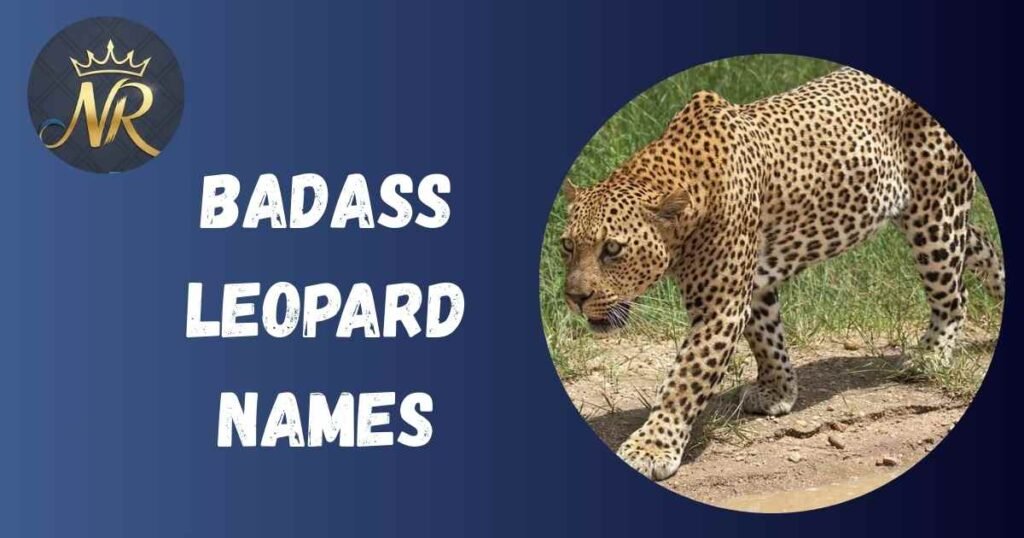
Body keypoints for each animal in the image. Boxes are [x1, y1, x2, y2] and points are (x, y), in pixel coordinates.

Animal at [559, 67, 1004, 481]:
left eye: (612, 249)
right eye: (567, 245)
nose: (574, 298)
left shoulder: (719, 307)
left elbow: (685, 379)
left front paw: (651, 447)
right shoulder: (752, 286)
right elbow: (766, 338)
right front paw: (778, 391)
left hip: (935, 215)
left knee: (953, 295)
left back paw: (931, 355)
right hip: (933, 215)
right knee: (981, 245)